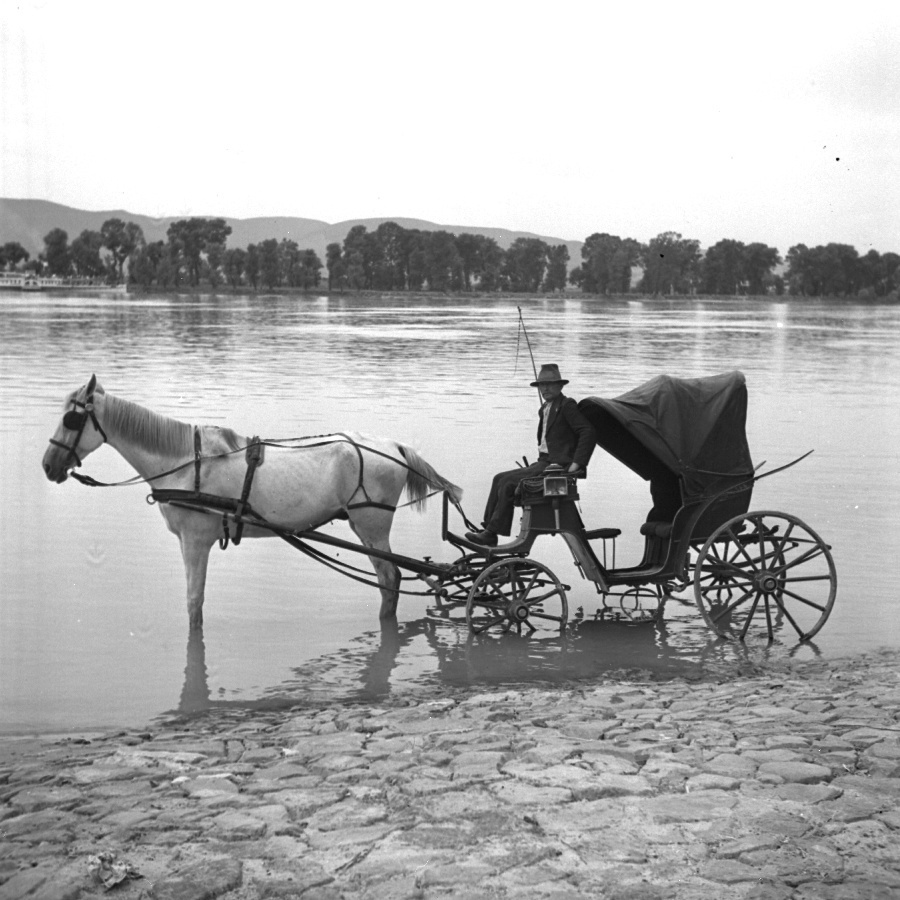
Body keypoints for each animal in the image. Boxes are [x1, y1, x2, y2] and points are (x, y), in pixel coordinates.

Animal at [44, 376, 460, 628]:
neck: (187, 462)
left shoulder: (195, 541)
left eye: (69, 419)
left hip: (371, 526)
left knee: (389, 578)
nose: (48, 465)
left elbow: (194, 602)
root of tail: (395, 447)